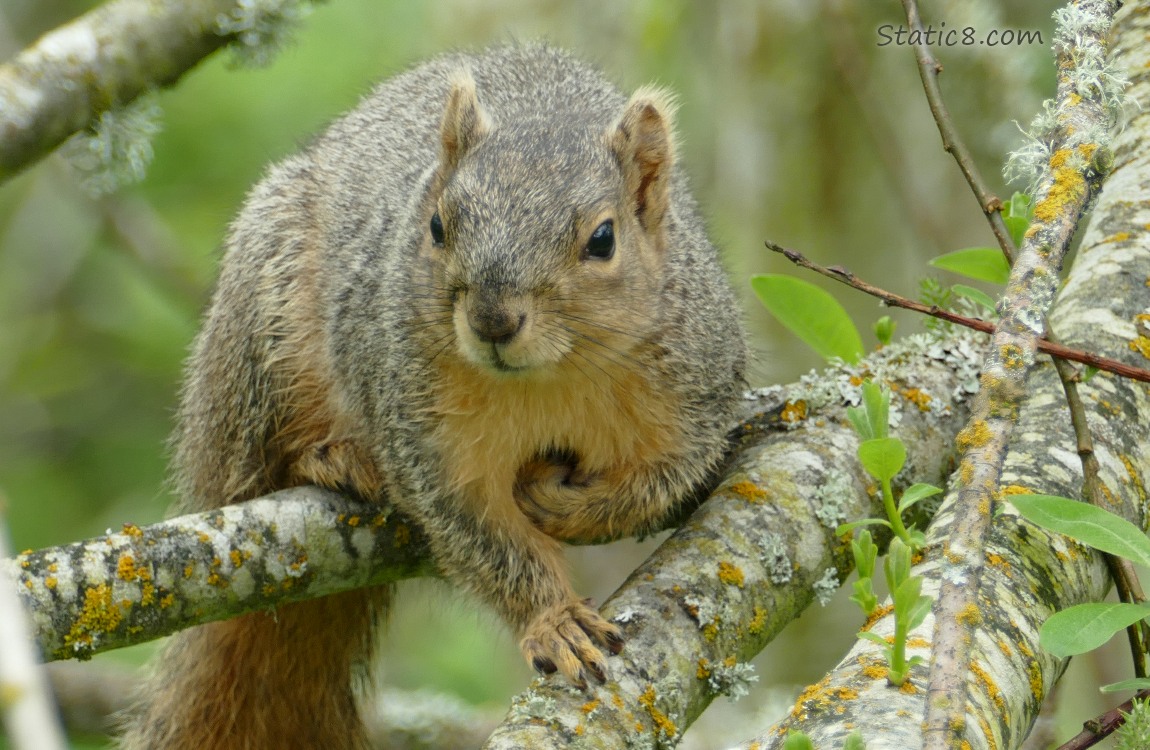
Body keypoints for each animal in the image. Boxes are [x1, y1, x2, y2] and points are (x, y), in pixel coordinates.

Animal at [119, 42, 745, 750]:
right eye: (438, 225)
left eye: (603, 240)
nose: (493, 320)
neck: (549, 377)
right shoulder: (425, 435)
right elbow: (477, 531)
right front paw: (555, 618)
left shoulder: (697, 394)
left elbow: (660, 485)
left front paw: (567, 507)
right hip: (258, 336)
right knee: (247, 472)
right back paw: (333, 459)